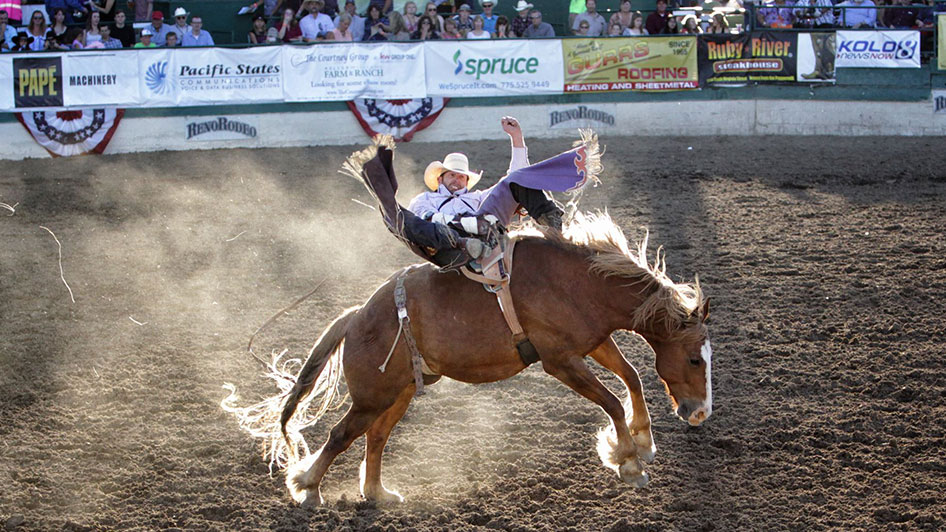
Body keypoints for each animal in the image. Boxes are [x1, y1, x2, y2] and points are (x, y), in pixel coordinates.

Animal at [221, 211, 708, 502]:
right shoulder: (560, 361)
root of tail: (357, 316)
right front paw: (629, 462)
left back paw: (377, 494)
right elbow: (610, 401)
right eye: (695, 359)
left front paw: (643, 442)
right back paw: (307, 487)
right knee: (342, 435)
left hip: (399, 393)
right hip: (372, 395)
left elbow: (632, 378)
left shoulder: (593, 342)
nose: (701, 412)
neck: (578, 282)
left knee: (375, 437)